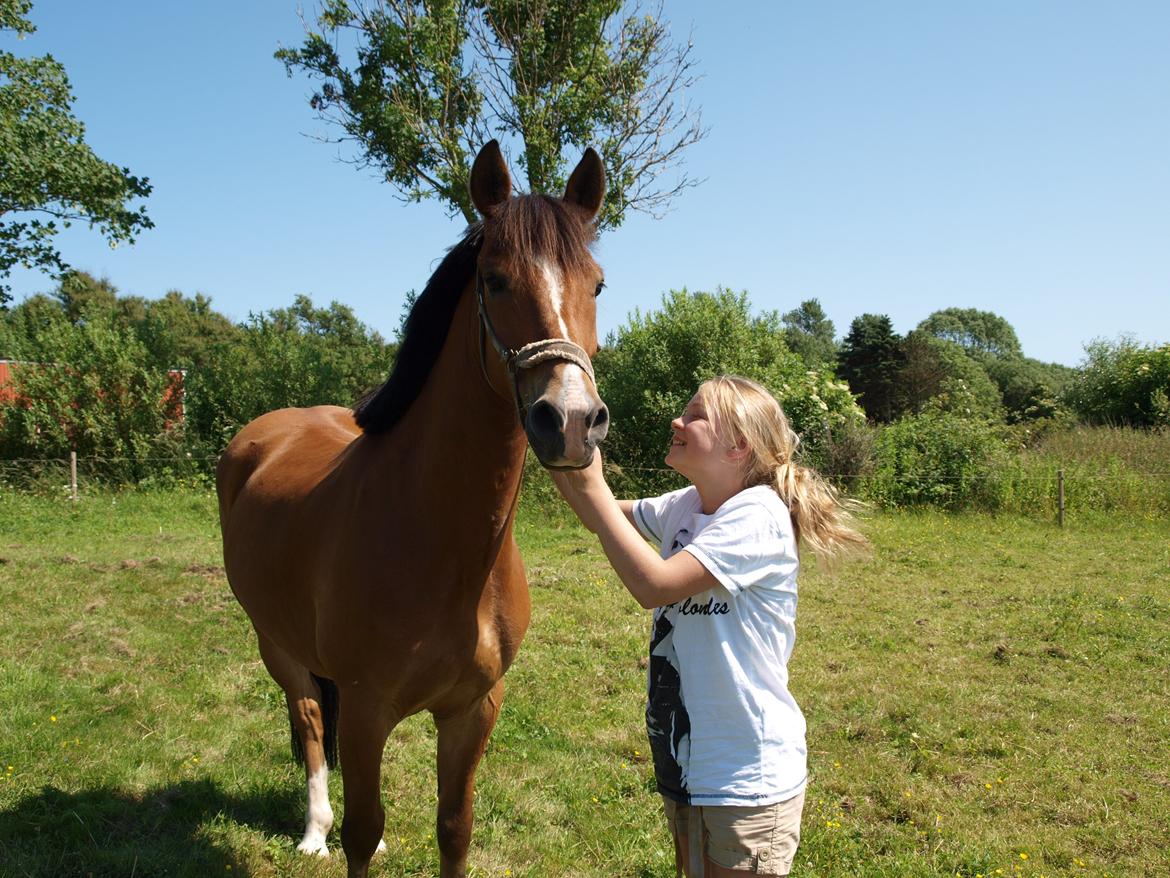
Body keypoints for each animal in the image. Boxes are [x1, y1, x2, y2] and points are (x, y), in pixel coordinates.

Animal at [214, 144, 608, 878]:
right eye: (494, 280)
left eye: (596, 284)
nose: (570, 422)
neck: (442, 547)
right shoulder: (368, 709)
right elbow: (362, 828)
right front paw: (345, 836)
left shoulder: (473, 710)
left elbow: (455, 828)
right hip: (276, 643)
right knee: (310, 720)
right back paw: (313, 830)